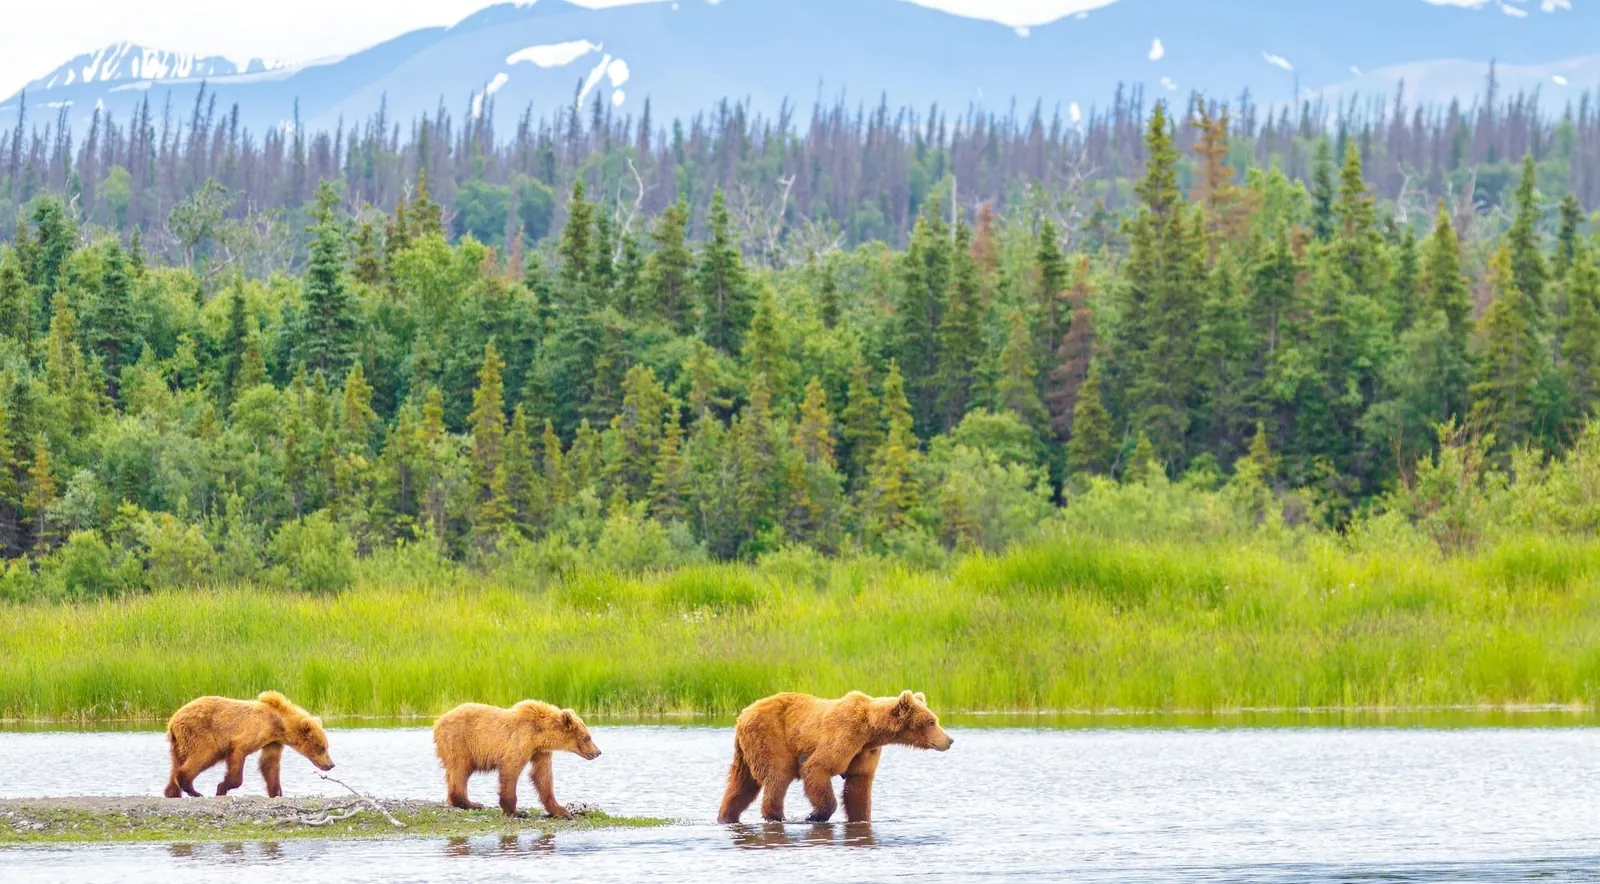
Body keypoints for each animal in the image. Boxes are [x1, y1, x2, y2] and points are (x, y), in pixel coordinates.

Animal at [163, 691, 334, 799]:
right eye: (321, 747)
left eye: (326, 746)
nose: (331, 764)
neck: (278, 724)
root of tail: (172, 720)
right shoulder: (250, 733)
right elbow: (239, 755)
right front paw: (221, 788)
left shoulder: (273, 742)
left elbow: (269, 764)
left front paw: (276, 793)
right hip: (200, 733)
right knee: (204, 755)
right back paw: (193, 790)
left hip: (179, 742)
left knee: (176, 763)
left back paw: (172, 792)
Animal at [432, 700, 602, 818]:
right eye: (587, 737)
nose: (598, 752)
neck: (540, 734)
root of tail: (438, 721)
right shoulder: (521, 740)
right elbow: (511, 768)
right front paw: (516, 811)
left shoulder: (540, 752)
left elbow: (542, 776)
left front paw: (561, 811)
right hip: (460, 742)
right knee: (460, 770)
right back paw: (472, 803)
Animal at [716, 690, 953, 824]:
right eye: (931, 721)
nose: (949, 740)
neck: (871, 731)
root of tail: (742, 715)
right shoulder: (844, 735)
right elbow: (817, 768)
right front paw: (814, 815)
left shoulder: (864, 752)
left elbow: (858, 787)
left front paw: (861, 818)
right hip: (770, 737)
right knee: (777, 775)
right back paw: (776, 816)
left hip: (746, 750)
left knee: (741, 784)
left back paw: (726, 816)